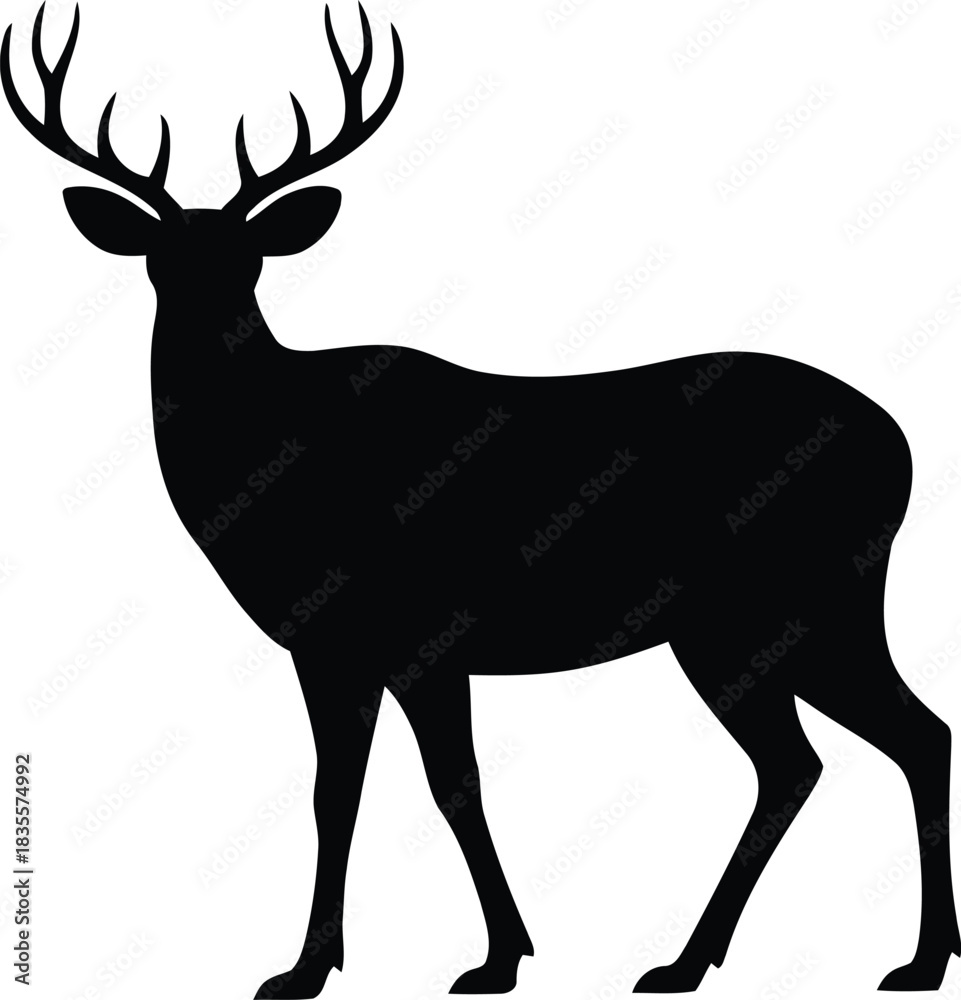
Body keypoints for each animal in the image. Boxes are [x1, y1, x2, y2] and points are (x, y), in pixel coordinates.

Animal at [3, 2, 959, 996]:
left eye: (248, 261)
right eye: (159, 260)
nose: (202, 332)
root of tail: (903, 448)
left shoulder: (411, 633)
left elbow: (435, 785)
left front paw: (478, 958)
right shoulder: (337, 646)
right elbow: (346, 790)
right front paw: (334, 964)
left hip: (787, 605)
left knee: (885, 741)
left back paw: (903, 958)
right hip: (751, 625)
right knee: (825, 756)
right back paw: (711, 958)